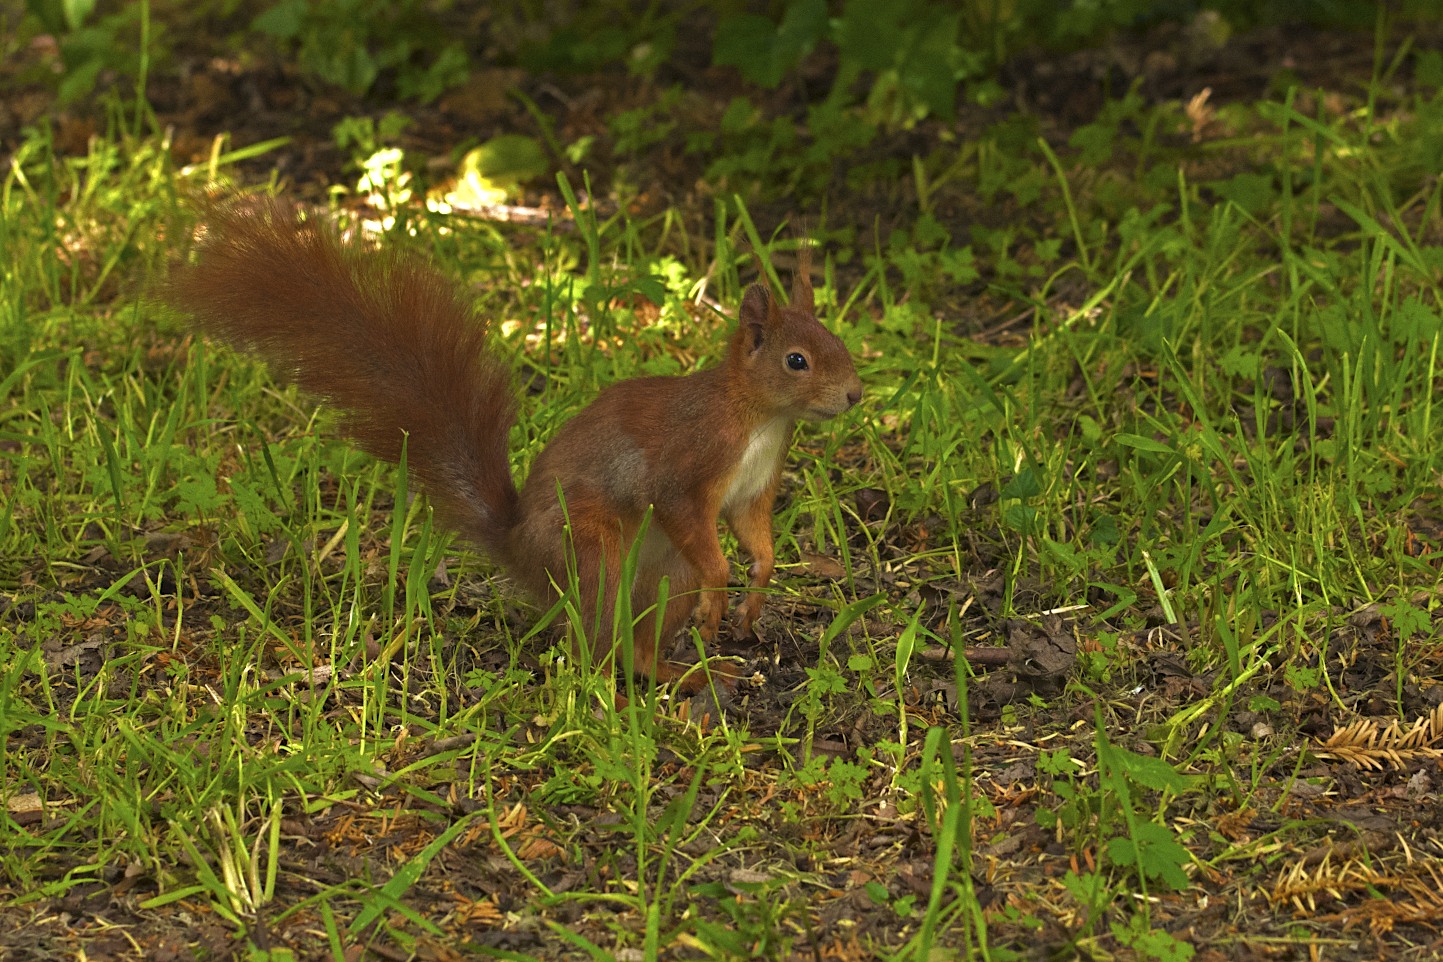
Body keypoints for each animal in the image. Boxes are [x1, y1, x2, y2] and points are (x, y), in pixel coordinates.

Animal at [168, 197, 865, 692]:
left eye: (837, 338)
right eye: (797, 360)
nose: (856, 394)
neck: (759, 418)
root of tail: (522, 549)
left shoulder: (754, 487)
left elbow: (756, 537)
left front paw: (754, 596)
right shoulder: (690, 464)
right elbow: (685, 514)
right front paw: (723, 593)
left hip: (662, 576)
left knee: (636, 644)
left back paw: (685, 671)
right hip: (594, 551)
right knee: (604, 643)